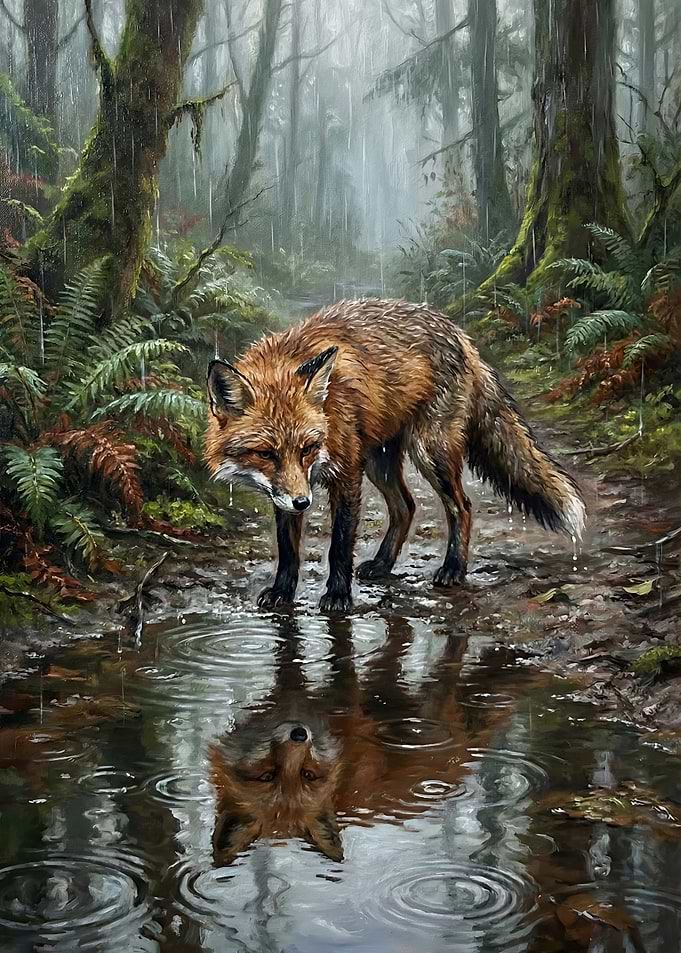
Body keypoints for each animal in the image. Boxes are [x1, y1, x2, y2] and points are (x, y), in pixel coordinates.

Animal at [205, 298, 586, 612]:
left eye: (308, 448)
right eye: (266, 453)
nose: (303, 503)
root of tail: (459, 334)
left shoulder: (346, 474)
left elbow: (339, 545)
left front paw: (338, 595)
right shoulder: (289, 490)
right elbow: (287, 548)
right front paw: (282, 591)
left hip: (429, 453)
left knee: (461, 507)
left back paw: (453, 568)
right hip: (379, 462)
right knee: (406, 507)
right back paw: (383, 564)